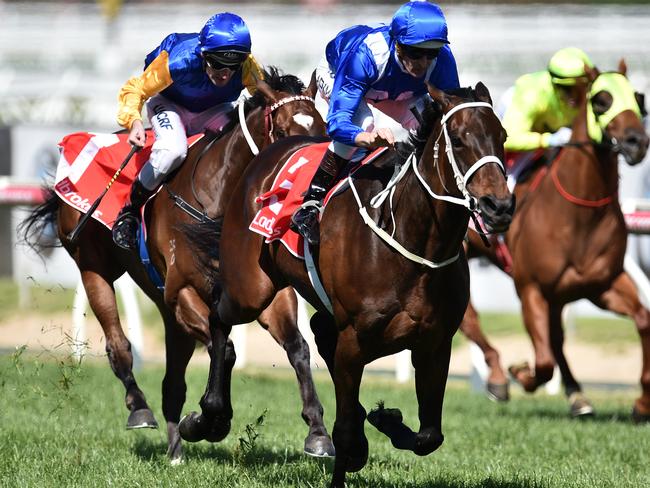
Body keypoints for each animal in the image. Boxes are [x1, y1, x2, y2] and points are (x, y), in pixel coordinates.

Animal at [20, 67, 334, 462]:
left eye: (322, 129)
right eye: (285, 130)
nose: (313, 192)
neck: (218, 197)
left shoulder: (264, 293)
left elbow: (298, 348)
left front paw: (317, 431)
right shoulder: (184, 290)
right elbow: (225, 350)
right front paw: (208, 421)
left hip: (165, 307)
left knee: (172, 381)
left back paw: (175, 451)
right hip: (94, 269)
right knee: (118, 345)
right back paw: (140, 409)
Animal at [180, 82, 512, 486]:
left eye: (502, 136)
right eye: (461, 140)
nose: (499, 206)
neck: (413, 239)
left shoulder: (434, 344)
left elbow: (430, 435)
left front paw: (386, 420)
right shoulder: (354, 339)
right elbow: (344, 429)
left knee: (319, 331)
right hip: (250, 288)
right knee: (218, 316)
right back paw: (207, 416)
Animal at [458, 61, 648, 420]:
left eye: (638, 99)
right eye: (601, 100)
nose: (637, 142)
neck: (579, 214)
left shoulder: (603, 284)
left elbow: (644, 320)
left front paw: (642, 402)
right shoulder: (530, 289)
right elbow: (544, 361)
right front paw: (521, 373)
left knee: (556, 339)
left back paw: (577, 396)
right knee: (469, 318)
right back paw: (497, 377)